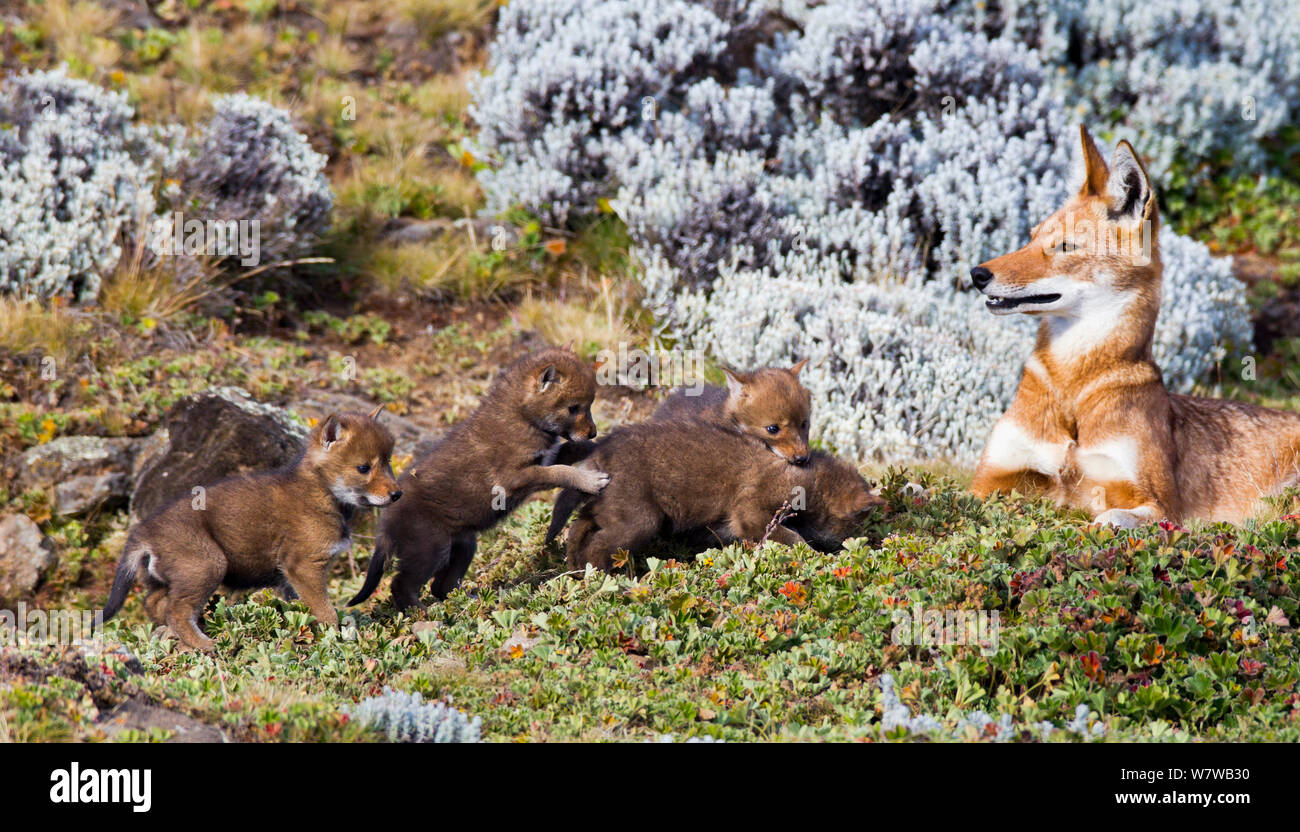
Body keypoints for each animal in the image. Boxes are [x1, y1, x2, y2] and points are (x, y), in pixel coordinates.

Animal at [967, 123, 1300, 525]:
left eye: (1065, 247)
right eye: (1030, 239)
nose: (977, 274)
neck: (1073, 388)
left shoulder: (1156, 503)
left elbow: (1109, 518)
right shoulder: (989, 479)